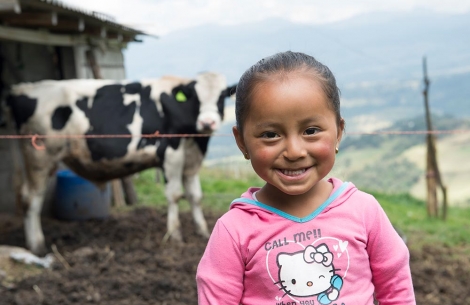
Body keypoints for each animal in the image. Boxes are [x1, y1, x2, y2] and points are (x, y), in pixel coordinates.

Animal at [5, 72, 237, 254]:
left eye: (222, 96)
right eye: (196, 97)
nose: (207, 122)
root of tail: (22, 88)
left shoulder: (191, 159)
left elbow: (195, 196)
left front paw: (203, 231)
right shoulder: (171, 153)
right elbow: (174, 195)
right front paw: (175, 234)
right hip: (39, 157)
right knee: (31, 198)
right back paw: (37, 245)